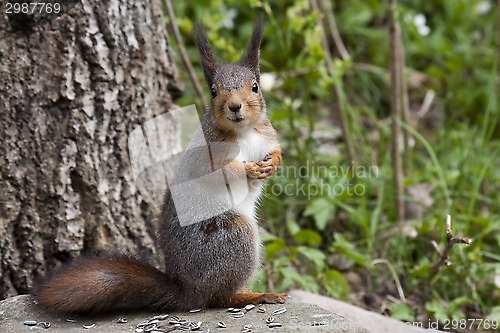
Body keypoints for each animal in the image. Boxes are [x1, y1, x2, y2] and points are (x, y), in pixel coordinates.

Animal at [34, 15, 286, 312]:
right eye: (214, 92)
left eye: (255, 86)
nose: (234, 106)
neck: (244, 131)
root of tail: (188, 291)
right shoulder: (206, 153)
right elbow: (214, 174)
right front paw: (247, 169)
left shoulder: (266, 136)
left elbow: (276, 150)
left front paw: (274, 164)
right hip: (234, 236)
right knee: (220, 298)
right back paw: (253, 295)